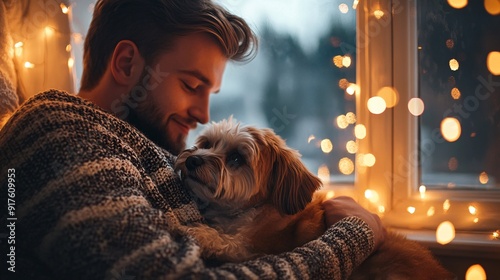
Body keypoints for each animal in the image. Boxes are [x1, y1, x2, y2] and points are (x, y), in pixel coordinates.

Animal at [174, 119, 456, 278]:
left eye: (236, 158)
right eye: (207, 143)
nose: (193, 159)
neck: (247, 212)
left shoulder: (256, 248)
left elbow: (224, 241)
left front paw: (190, 229)